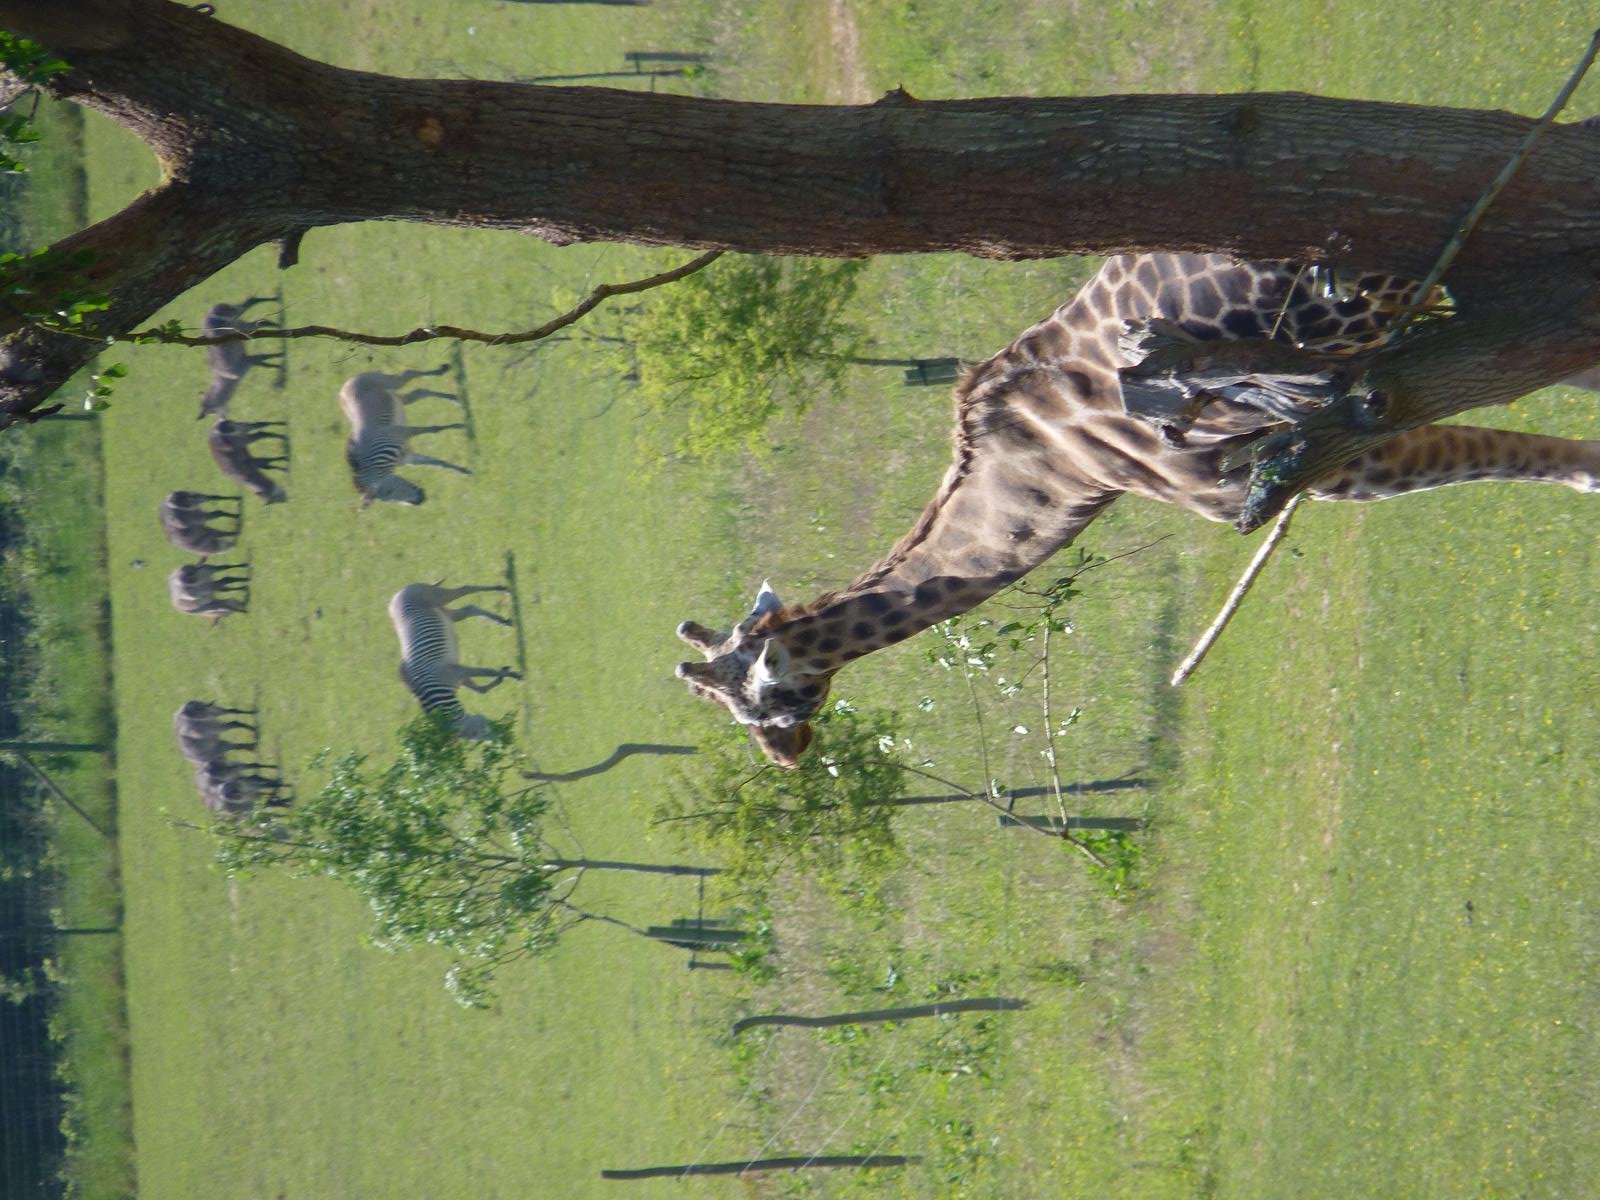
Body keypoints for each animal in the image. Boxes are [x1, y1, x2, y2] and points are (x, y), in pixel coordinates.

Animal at [341, 366, 469, 507]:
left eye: (389, 491)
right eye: (389, 502)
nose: (420, 500)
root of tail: (343, 389)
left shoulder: (402, 432)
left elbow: (433, 430)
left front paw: (461, 426)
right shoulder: (409, 458)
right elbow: (439, 463)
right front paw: (464, 471)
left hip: (392, 383)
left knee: (408, 374)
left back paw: (442, 370)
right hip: (397, 399)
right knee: (420, 392)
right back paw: (454, 398)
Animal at [388, 581, 518, 738]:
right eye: (478, 738)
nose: (507, 737)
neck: (437, 688)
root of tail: (397, 595)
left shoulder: (458, 671)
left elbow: (488, 672)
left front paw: (519, 676)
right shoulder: (459, 675)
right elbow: (481, 689)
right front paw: (502, 677)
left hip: (438, 597)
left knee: (466, 589)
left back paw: (503, 588)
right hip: (446, 613)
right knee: (469, 609)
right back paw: (505, 621)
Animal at [675, 253, 1600, 767]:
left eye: (764, 706)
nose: (786, 759)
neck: (1059, 473)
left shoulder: (1315, 457)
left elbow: (1505, 442)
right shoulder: (1337, 445)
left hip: (1369, 302)